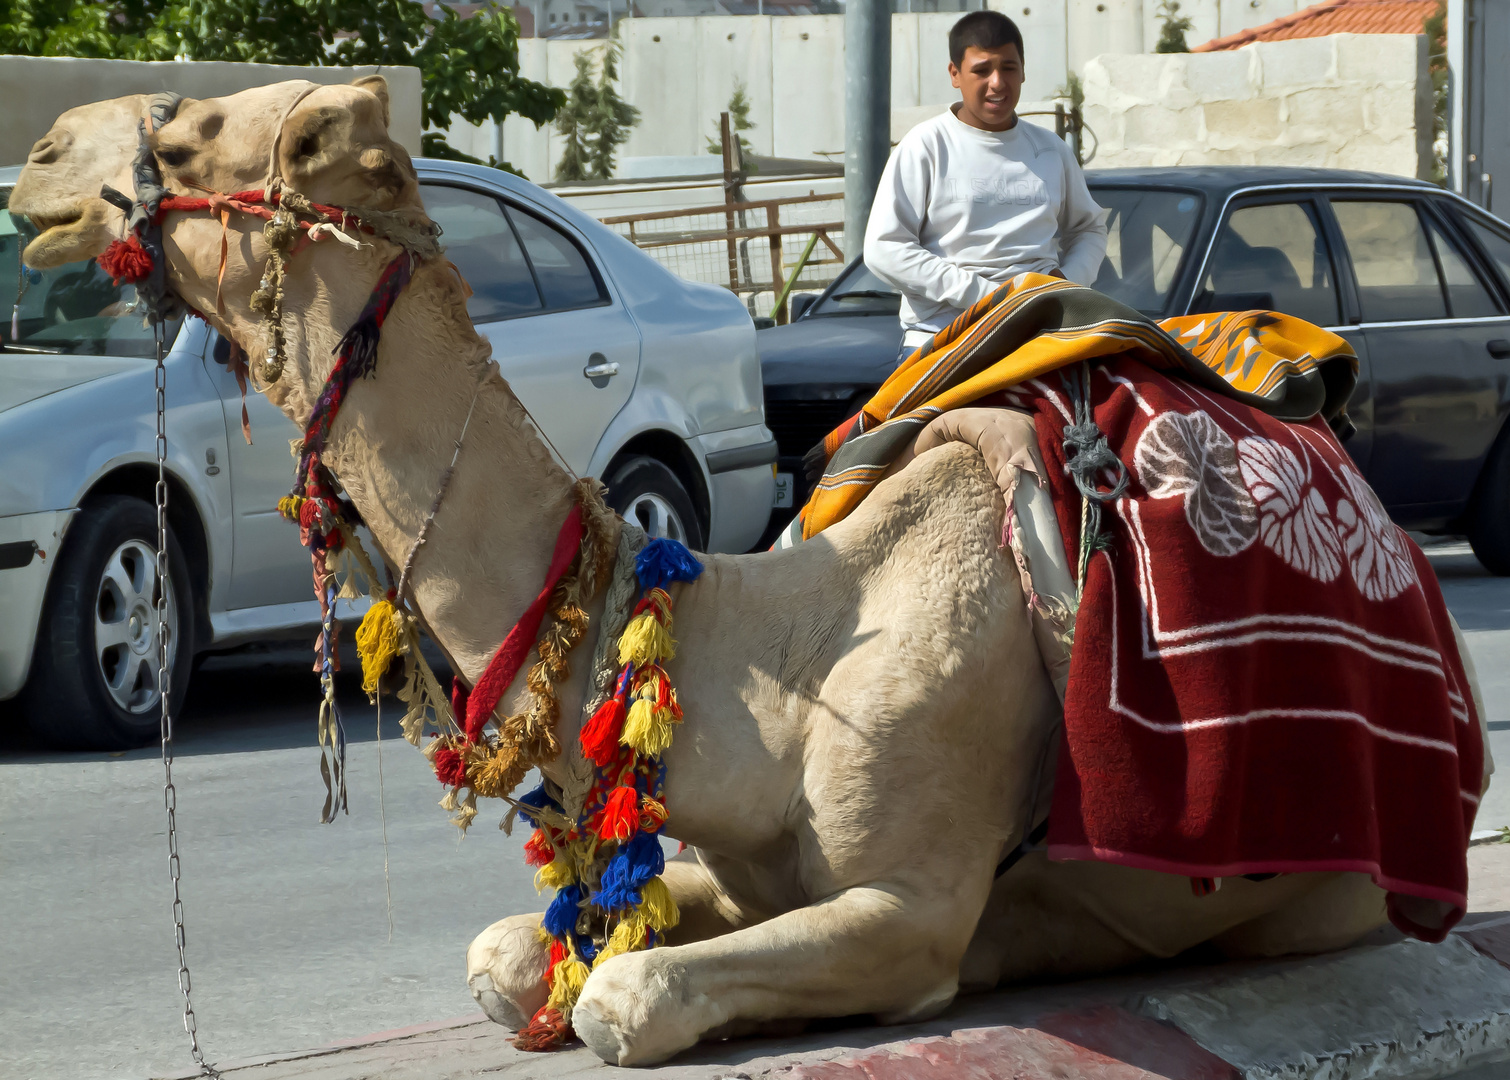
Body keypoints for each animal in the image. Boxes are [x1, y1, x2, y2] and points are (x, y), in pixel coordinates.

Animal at [11, 80, 1467, 1069]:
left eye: (190, 135)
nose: (38, 159)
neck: (769, 659)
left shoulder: (903, 900)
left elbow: (622, 997)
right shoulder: (725, 863)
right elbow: (507, 956)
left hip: (1334, 888)